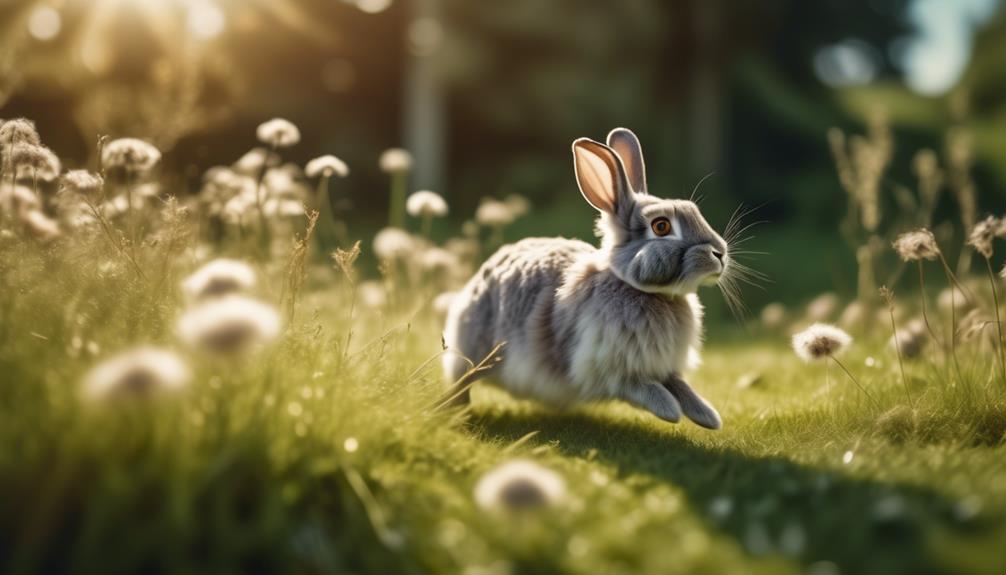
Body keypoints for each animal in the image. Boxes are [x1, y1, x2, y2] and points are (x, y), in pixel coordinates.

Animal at [444, 128, 728, 428]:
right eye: (661, 226)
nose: (720, 253)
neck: (641, 289)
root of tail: (480, 277)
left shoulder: (662, 365)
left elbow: (680, 385)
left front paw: (707, 416)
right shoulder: (606, 368)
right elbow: (639, 387)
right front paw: (668, 409)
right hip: (476, 351)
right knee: (463, 381)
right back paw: (456, 410)